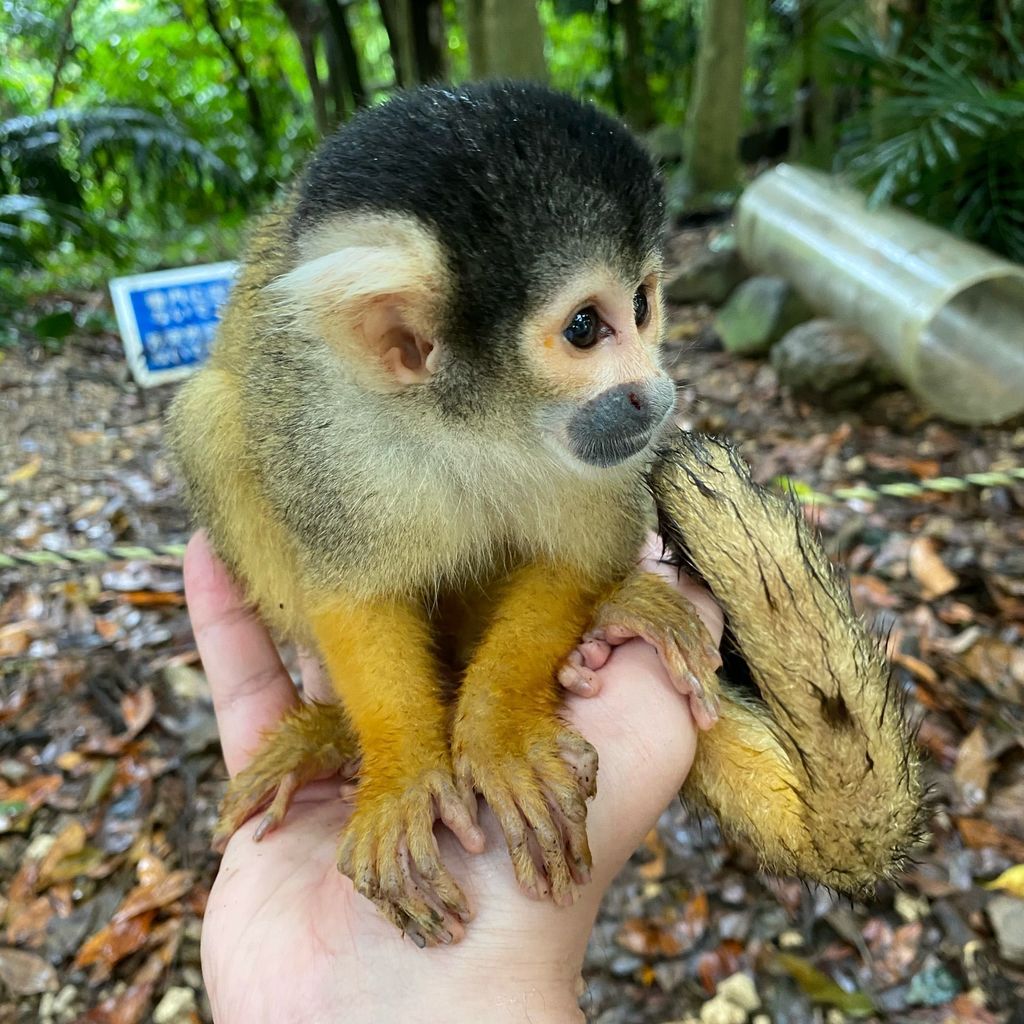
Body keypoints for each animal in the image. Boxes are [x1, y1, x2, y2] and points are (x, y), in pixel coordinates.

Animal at [167, 83, 921, 946]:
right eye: (585, 327)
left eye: (643, 304)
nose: (654, 393)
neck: (474, 424)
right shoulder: (327, 432)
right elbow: (351, 594)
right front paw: (401, 771)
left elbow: (582, 554)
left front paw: (501, 728)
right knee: (211, 417)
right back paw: (334, 734)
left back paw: (615, 620)